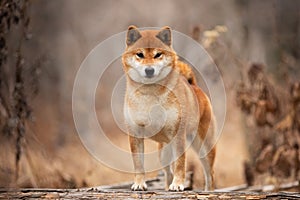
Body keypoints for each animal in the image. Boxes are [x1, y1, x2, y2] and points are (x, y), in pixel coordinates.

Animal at [121, 25, 216, 191]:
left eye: (158, 54)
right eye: (140, 54)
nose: (149, 70)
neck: (150, 96)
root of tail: (194, 86)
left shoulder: (178, 136)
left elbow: (180, 164)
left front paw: (178, 185)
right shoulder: (135, 133)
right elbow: (138, 164)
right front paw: (139, 184)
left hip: (204, 148)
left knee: (209, 175)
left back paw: (207, 191)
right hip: (163, 153)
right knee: (167, 172)